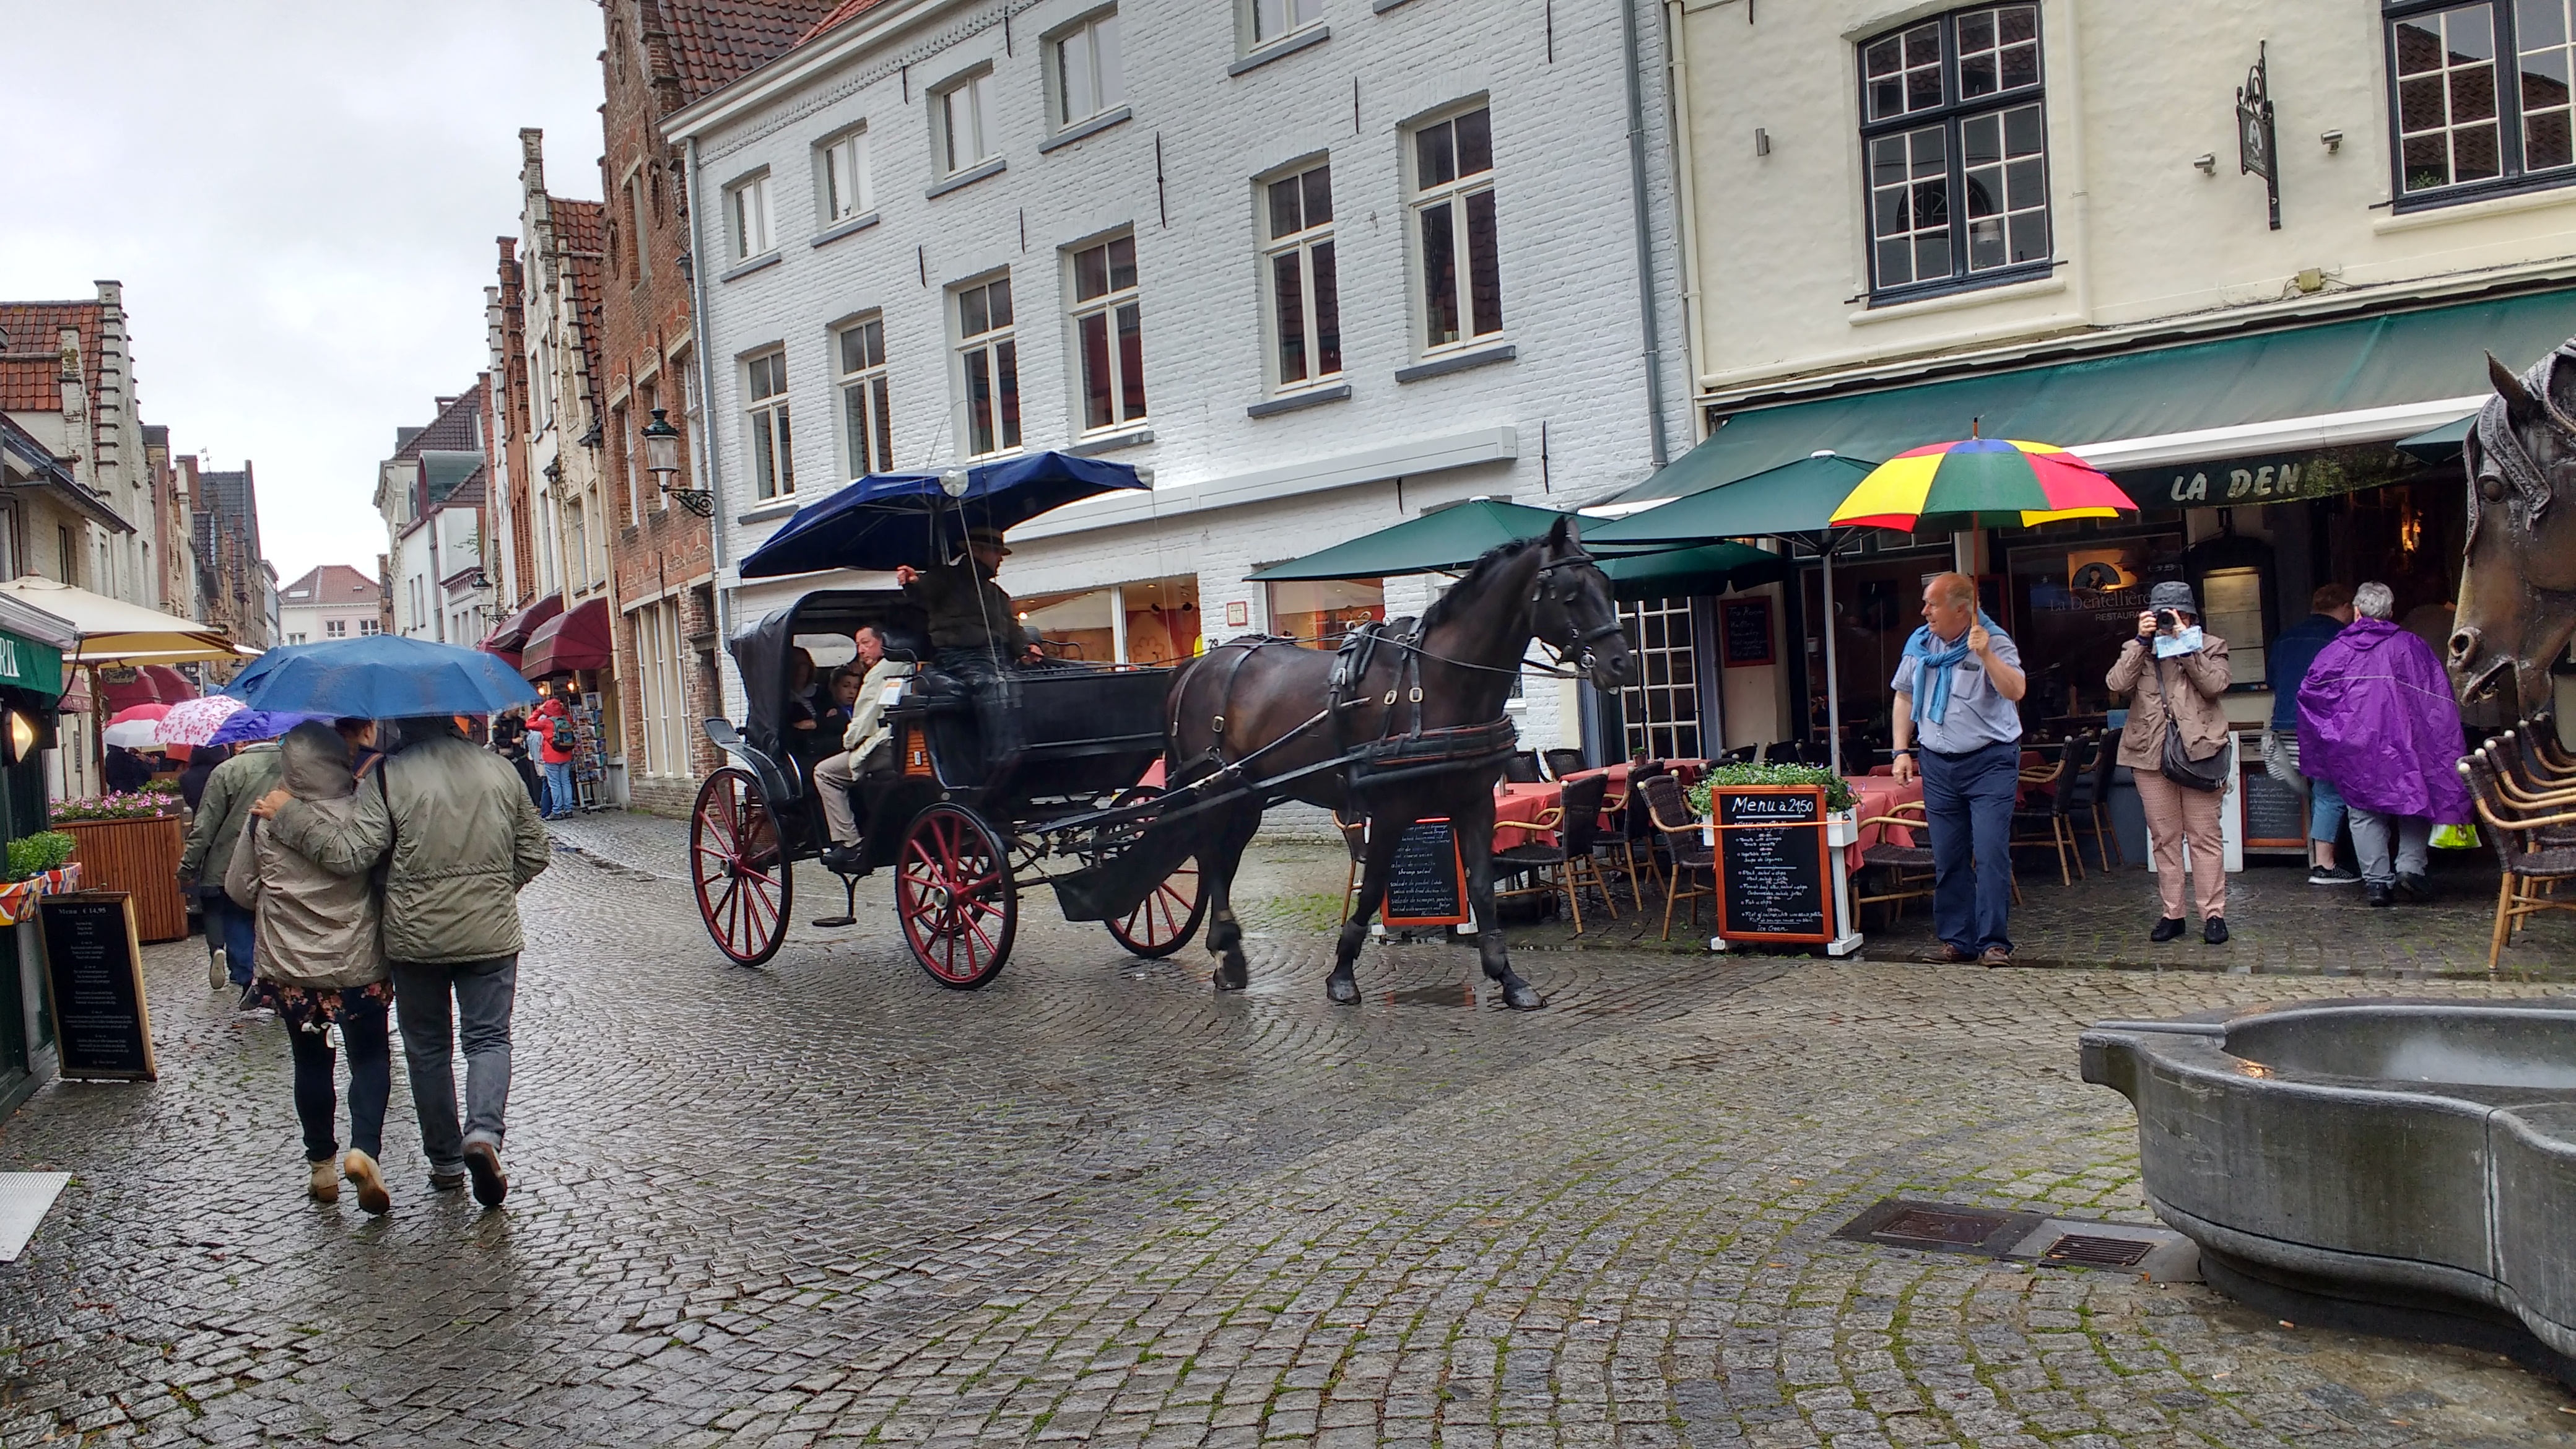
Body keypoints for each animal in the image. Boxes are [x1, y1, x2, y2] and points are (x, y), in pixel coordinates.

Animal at [1164, 515, 1628, 1005]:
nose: (1621, 663)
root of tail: (1196, 666)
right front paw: (1342, 975)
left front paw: (1508, 978)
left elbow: (1483, 890)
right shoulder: (1390, 813)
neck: (1441, 682)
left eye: (1605, 583)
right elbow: (1371, 892)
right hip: (1216, 790)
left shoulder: (1475, 804)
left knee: (1224, 858)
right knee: (1212, 857)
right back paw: (1224, 954)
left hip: (1247, 797)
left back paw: (1229, 956)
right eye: (1569, 593)